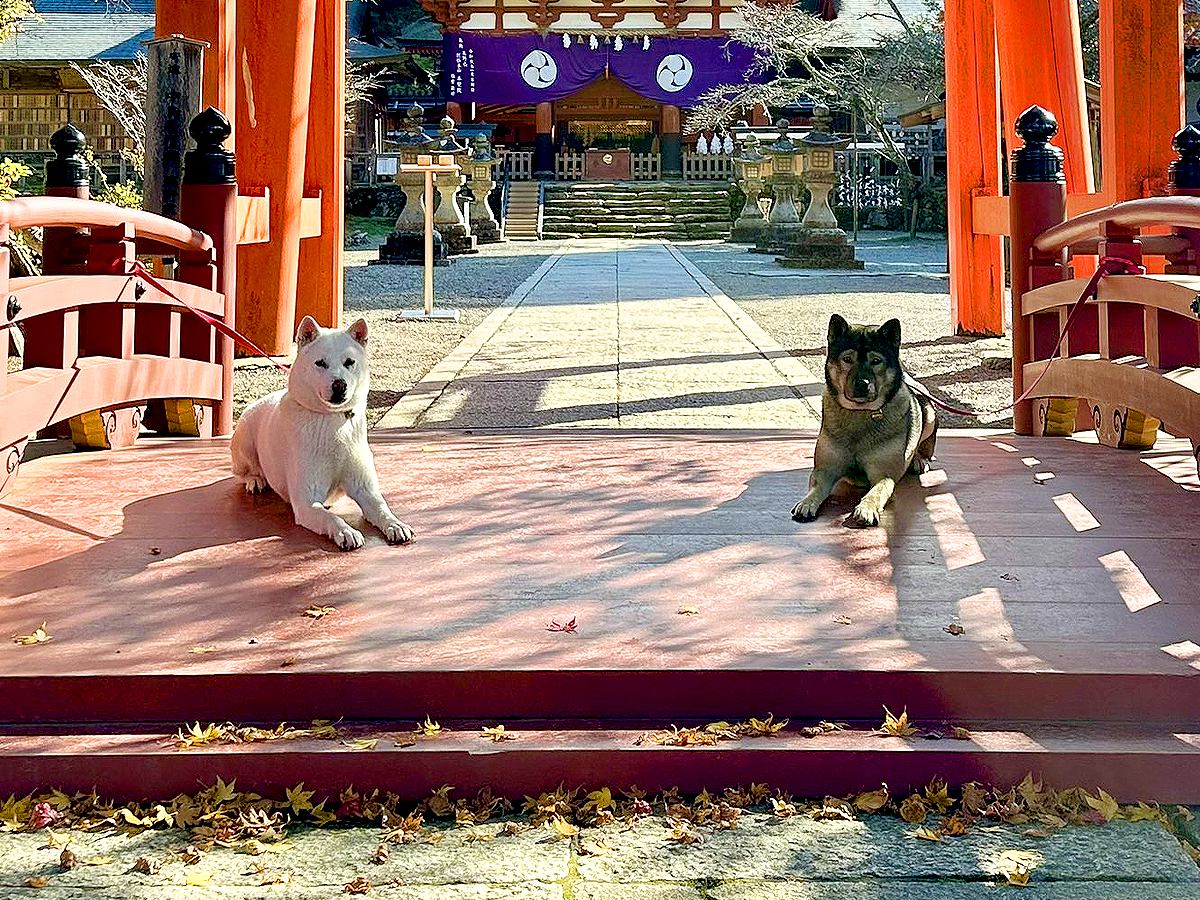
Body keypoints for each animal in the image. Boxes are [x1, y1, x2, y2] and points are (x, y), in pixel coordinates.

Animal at [231, 316, 415, 556]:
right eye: (320, 363)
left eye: (349, 362)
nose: (339, 385)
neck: (332, 421)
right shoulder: (307, 503)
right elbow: (330, 517)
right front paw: (346, 532)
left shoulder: (365, 489)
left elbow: (382, 507)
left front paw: (395, 524)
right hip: (244, 440)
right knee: (242, 472)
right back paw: (255, 480)